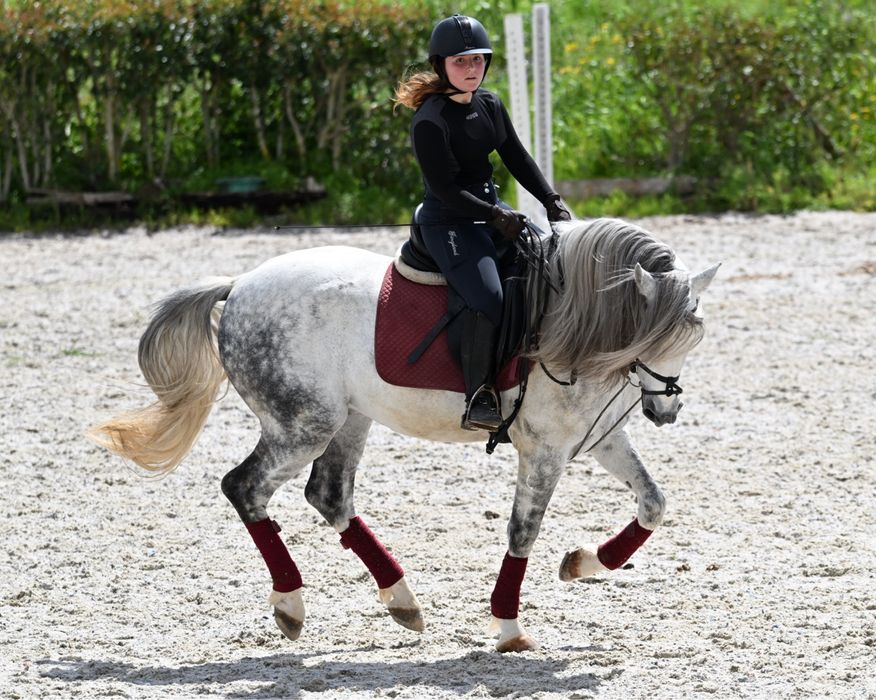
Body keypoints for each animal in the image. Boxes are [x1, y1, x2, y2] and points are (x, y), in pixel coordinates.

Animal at [90, 217, 720, 652]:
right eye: (656, 337)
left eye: (693, 340)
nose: (667, 409)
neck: (573, 325)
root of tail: (240, 283)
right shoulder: (544, 452)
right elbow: (523, 532)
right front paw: (509, 627)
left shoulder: (598, 439)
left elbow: (654, 503)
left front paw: (584, 561)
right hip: (304, 425)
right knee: (246, 488)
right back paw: (291, 606)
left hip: (350, 418)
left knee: (328, 494)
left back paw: (401, 601)